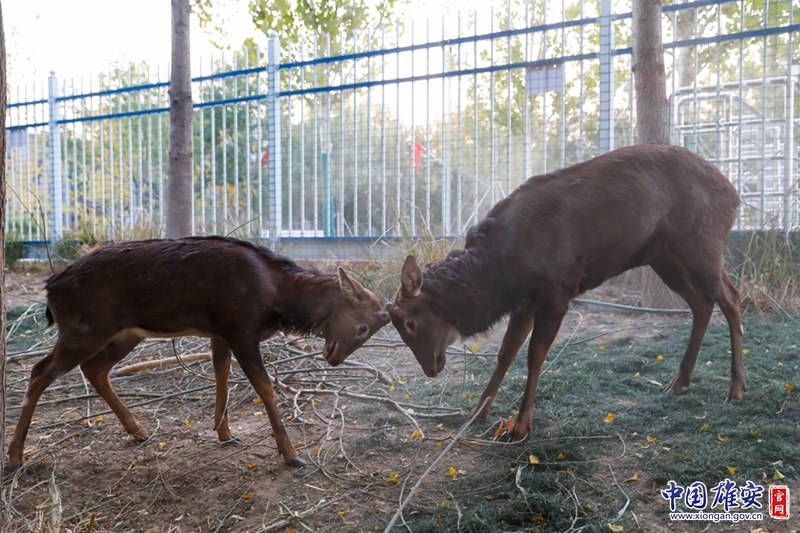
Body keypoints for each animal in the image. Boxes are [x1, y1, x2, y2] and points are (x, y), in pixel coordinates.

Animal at [7, 235, 390, 468]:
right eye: (362, 327)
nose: (334, 358)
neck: (275, 297)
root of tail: (50, 289)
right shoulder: (239, 328)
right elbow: (264, 387)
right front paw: (291, 454)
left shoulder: (220, 332)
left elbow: (221, 374)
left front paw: (225, 433)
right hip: (83, 329)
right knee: (39, 370)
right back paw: (15, 458)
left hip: (125, 333)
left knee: (95, 368)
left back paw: (139, 430)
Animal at [388, 143, 744, 438]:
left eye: (410, 322)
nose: (430, 368)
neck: (503, 272)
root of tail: (734, 194)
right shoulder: (525, 301)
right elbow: (506, 352)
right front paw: (477, 412)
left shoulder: (557, 291)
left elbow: (534, 354)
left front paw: (520, 426)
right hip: (666, 259)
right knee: (702, 304)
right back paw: (679, 381)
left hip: (700, 246)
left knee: (731, 298)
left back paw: (736, 388)